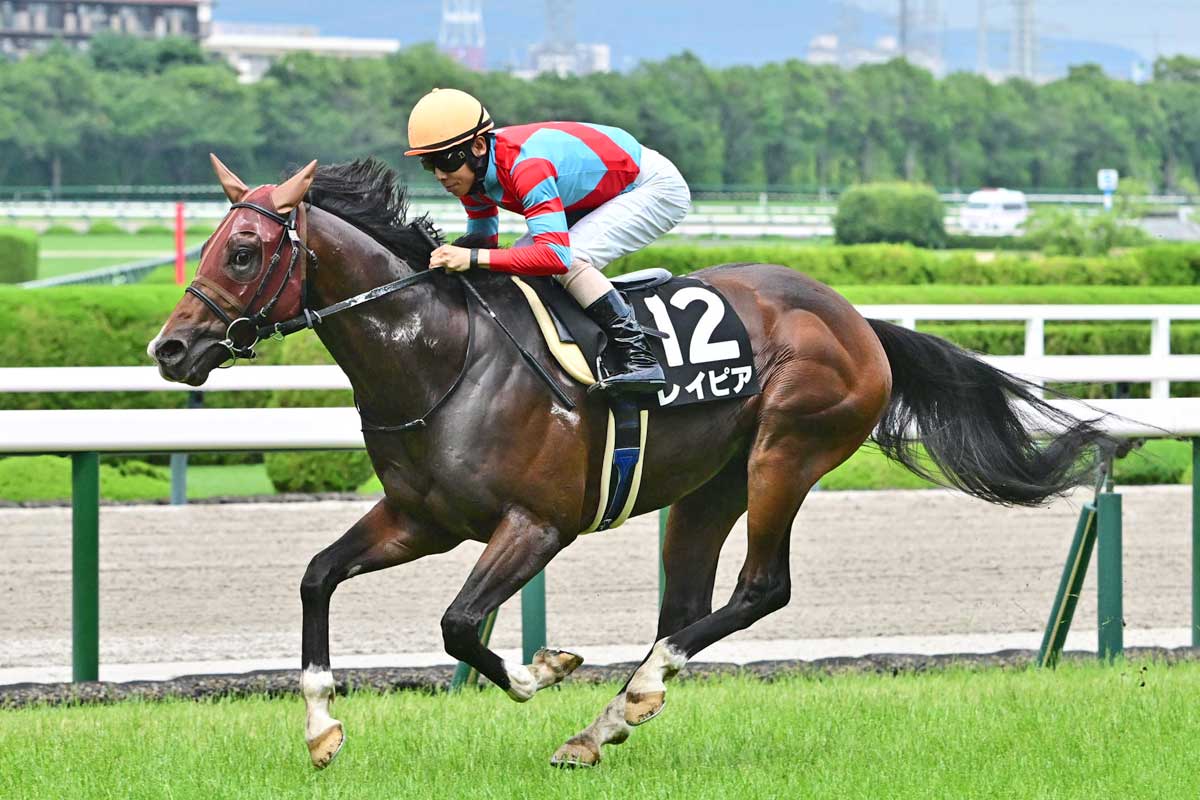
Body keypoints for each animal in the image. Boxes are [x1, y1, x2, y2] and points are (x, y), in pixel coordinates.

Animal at [150, 155, 1115, 769]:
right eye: (206, 244)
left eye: (244, 250)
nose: (170, 349)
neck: (442, 356)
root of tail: (857, 320)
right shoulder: (421, 519)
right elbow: (317, 576)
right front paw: (320, 729)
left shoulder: (537, 526)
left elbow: (460, 625)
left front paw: (541, 670)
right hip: (709, 487)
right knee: (685, 606)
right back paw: (607, 723)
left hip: (786, 454)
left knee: (762, 589)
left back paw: (628, 696)